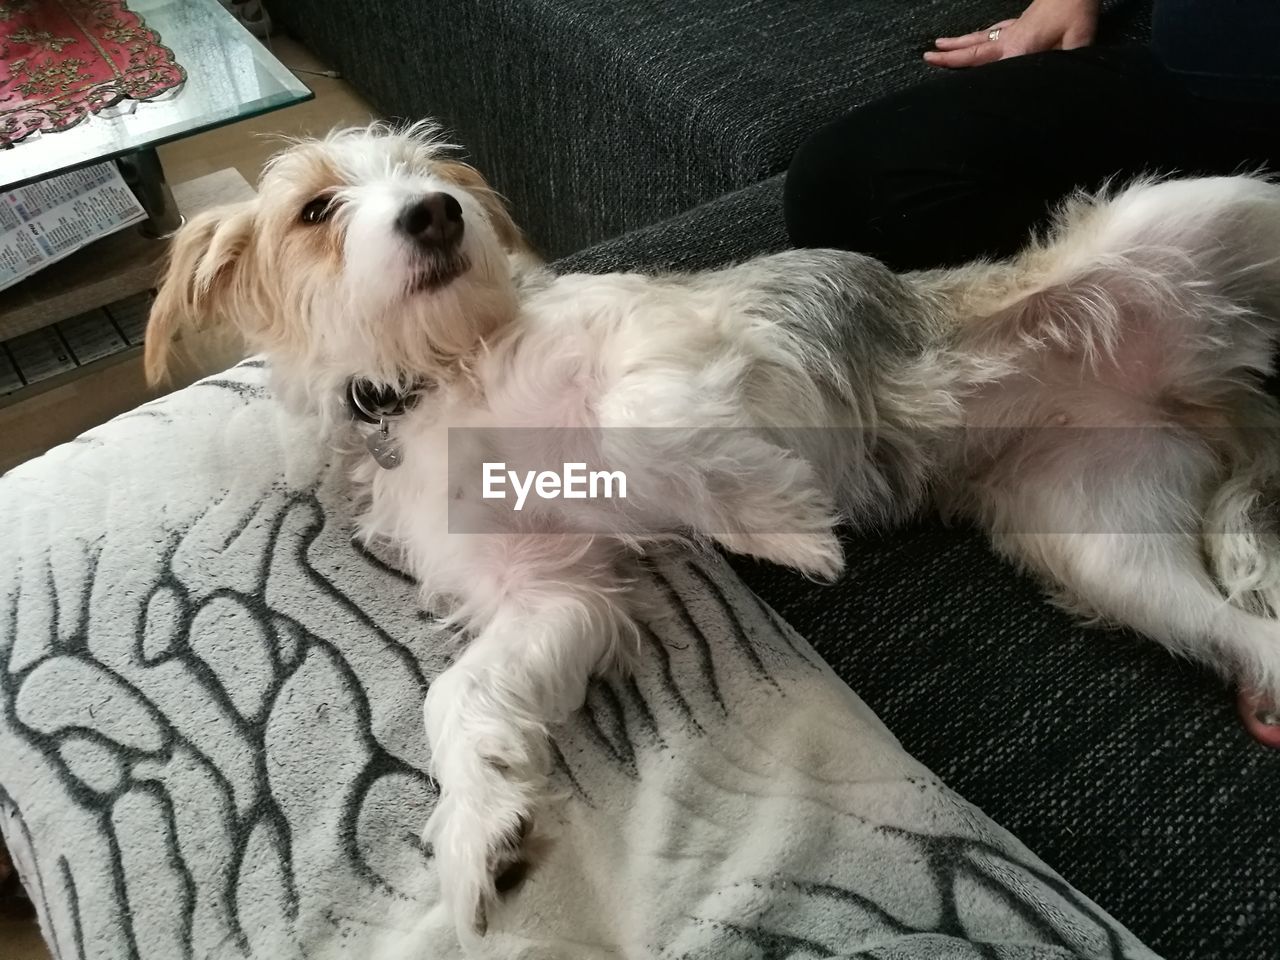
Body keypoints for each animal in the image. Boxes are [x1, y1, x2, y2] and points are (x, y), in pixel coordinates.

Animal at [145, 122, 1280, 942]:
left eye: (432, 174)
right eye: (315, 209)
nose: (436, 213)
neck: (442, 374)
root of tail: (1207, 391)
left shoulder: (669, 338)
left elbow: (633, 421)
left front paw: (782, 525)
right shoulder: (545, 592)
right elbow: (457, 699)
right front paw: (479, 833)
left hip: (1221, 206)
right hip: (1103, 542)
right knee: (1241, 608)